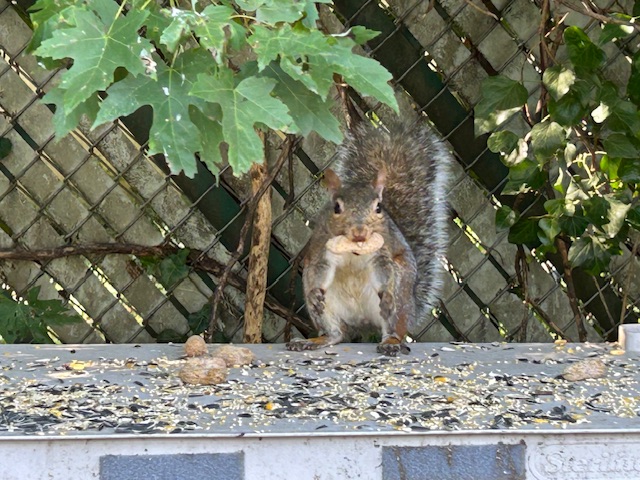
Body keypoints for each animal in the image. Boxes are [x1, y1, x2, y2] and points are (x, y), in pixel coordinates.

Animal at [286, 119, 451, 356]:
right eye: (336, 207)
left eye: (378, 207)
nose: (359, 231)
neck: (353, 249)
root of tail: (362, 321)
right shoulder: (322, 249)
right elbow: (320, 269)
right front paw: (316, 293)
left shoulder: (382, 252)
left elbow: (383, 270)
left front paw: (387, 293)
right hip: (326, 310)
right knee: (336, 333)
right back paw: (315, 340)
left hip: (399, 303)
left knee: (393, 327)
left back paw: (391, 342)